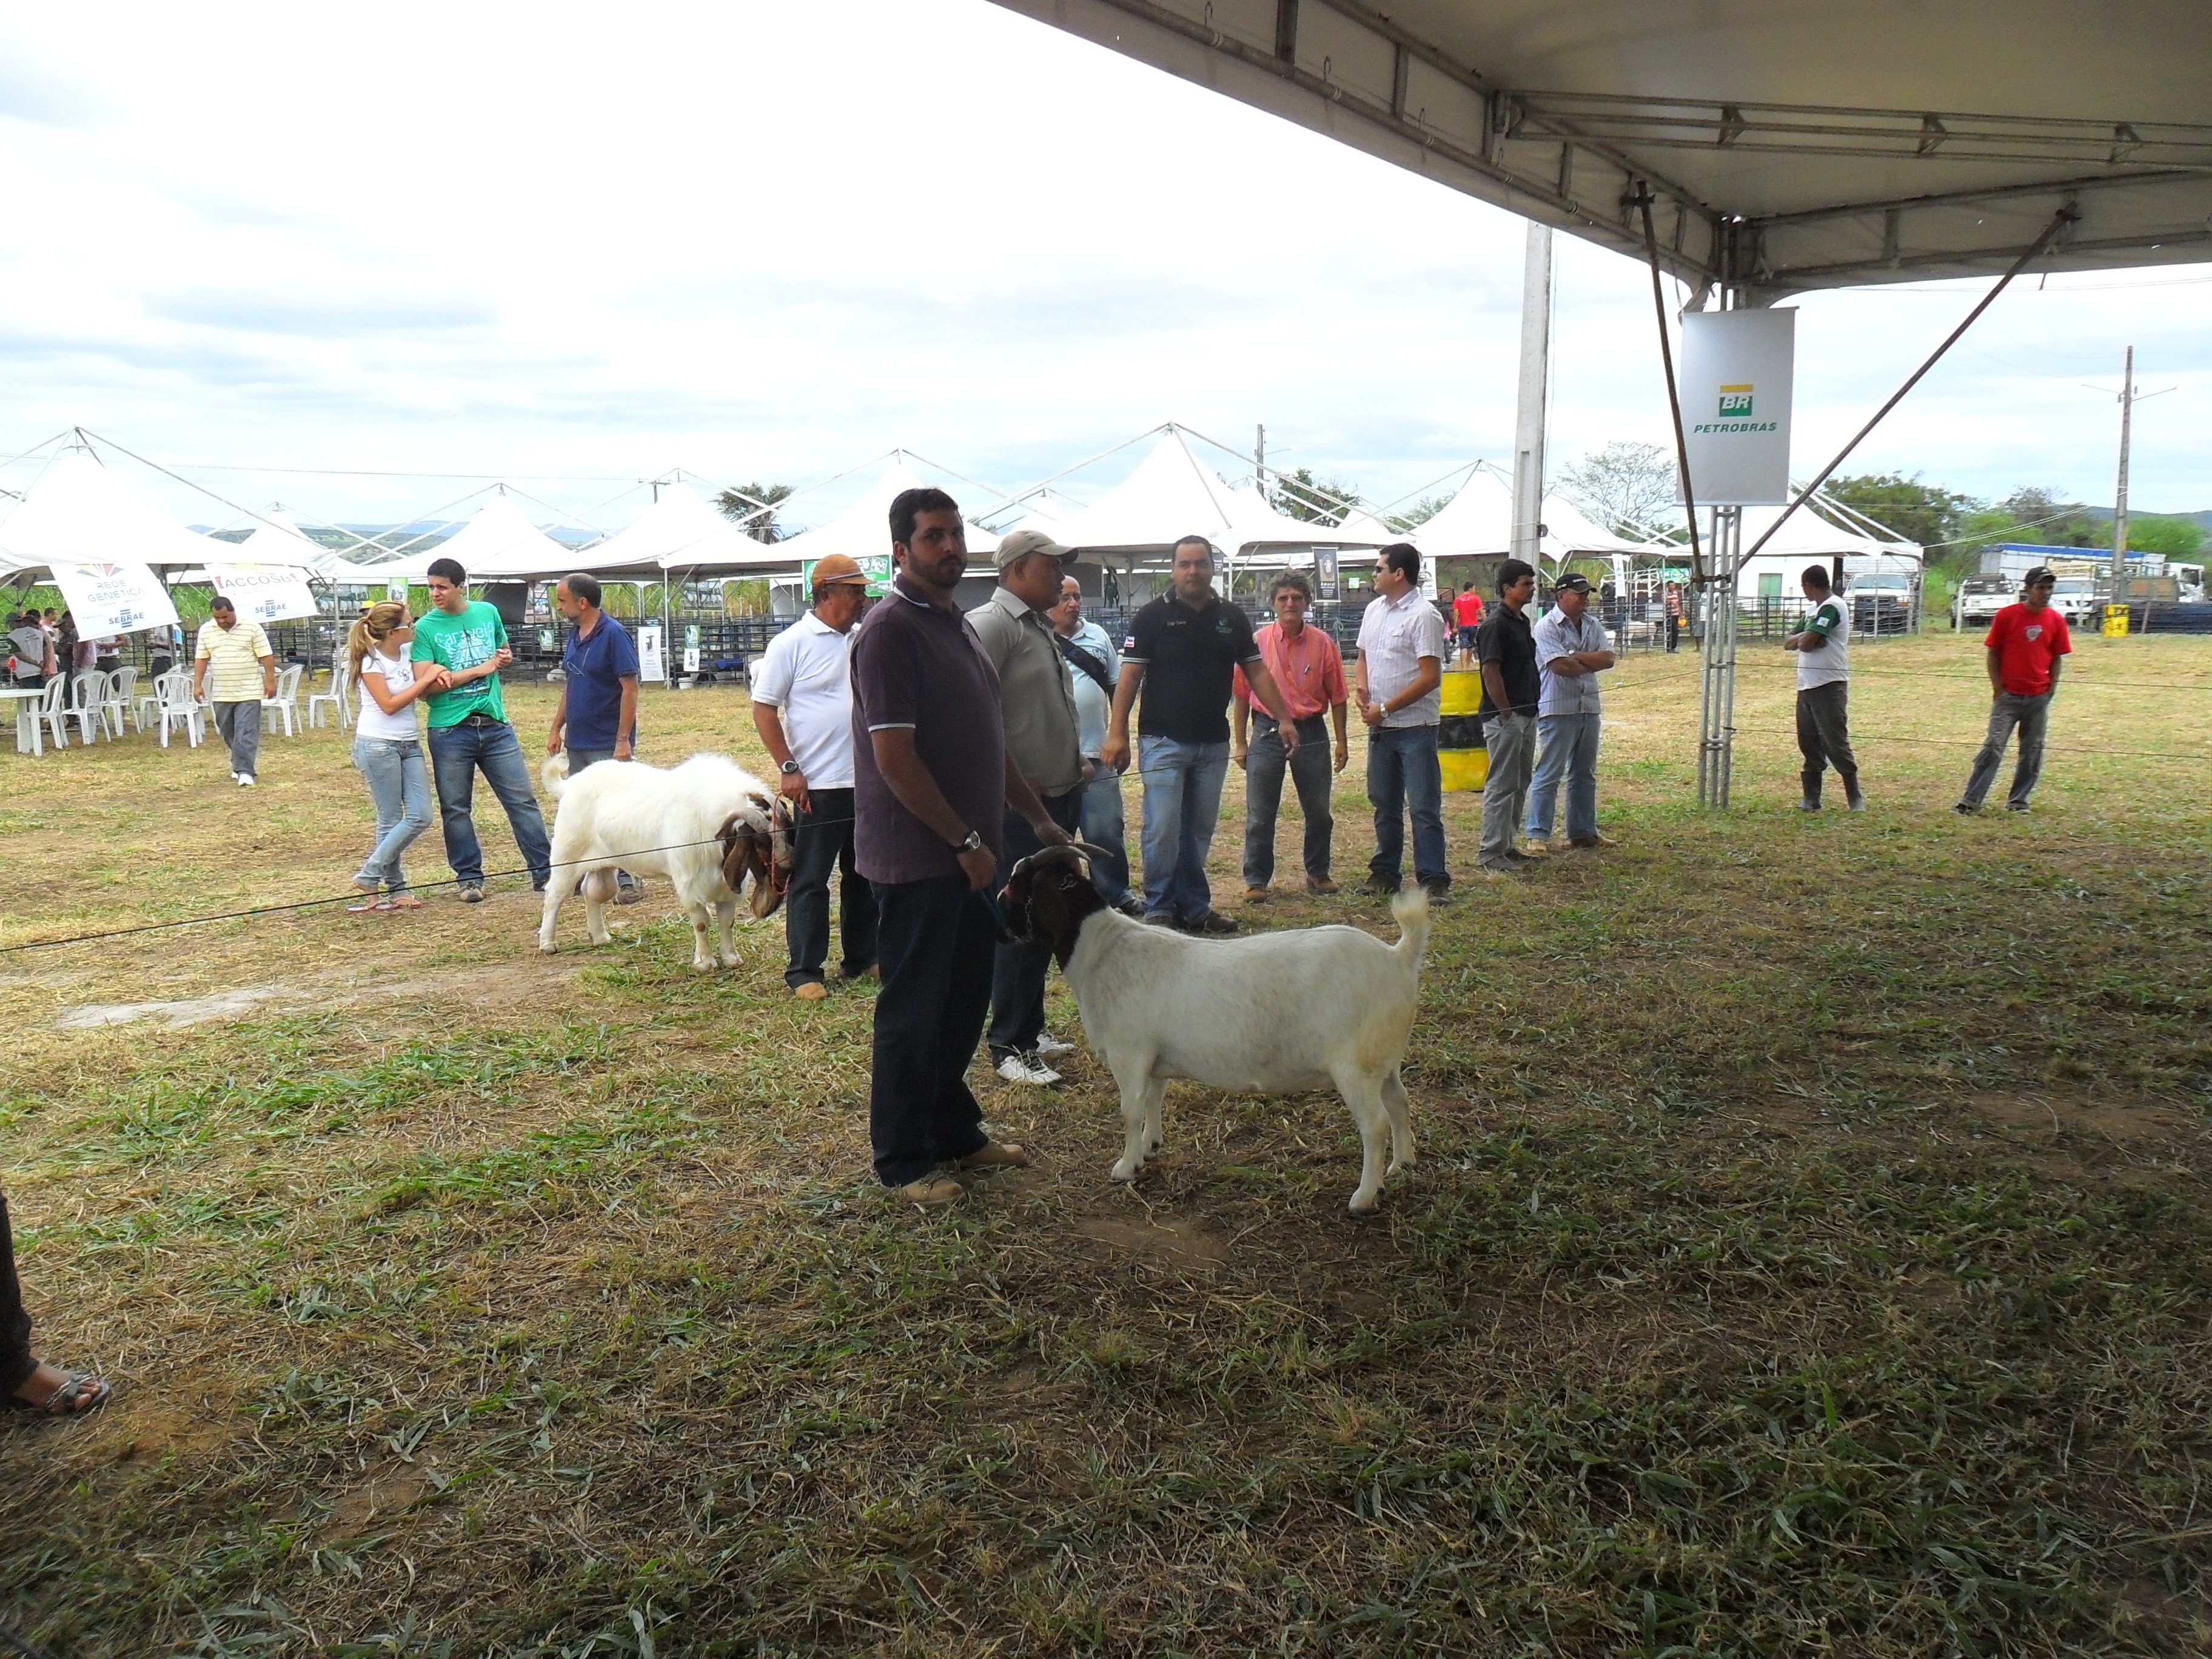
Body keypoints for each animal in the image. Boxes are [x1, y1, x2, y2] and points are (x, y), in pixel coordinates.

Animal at [536, 752, 784, 970]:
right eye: (761, 841)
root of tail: (569, 785)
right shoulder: (688, 882)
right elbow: (701, 921)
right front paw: (704, 963)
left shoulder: (727, 885)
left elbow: (727, 920)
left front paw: (731, 958)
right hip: (567, 855)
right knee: (555, 894)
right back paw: (548, 943)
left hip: (603, 863)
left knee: (593, 892)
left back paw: (600, 937)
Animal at [1003, 844, 1430, 1212]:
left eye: (1019, 881)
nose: (1001, 920)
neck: (1101, 951)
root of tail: (1397, 957)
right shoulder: (1154, 1061)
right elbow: (1153, 1101)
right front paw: (1150, 1148)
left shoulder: (1129, 1055)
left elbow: (1130, 1110)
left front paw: (1125, 1168)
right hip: (1382, 1058)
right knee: (1400, 1101)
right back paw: (1402, 1166)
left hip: (1355, 1066)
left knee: (1374, 1124)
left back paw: (1364, 1197)